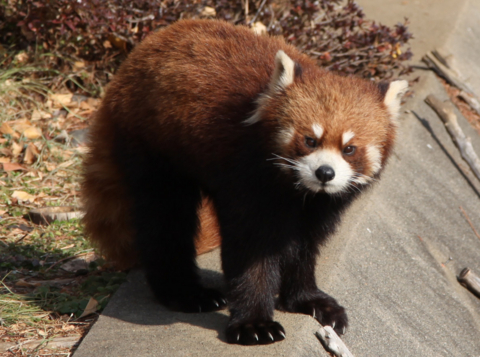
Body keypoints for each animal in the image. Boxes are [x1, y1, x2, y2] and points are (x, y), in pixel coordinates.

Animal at [80, 19, 406, 344]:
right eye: (310, 140)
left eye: (349, 148)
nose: (324, 173)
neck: (296, 191)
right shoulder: (245, 180)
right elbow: (251, 251)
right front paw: (255, 323)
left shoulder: (320, 206)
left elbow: (303, 248)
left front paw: (307, 300)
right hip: (153, 148)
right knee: (166, 219)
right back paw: (185, 293)